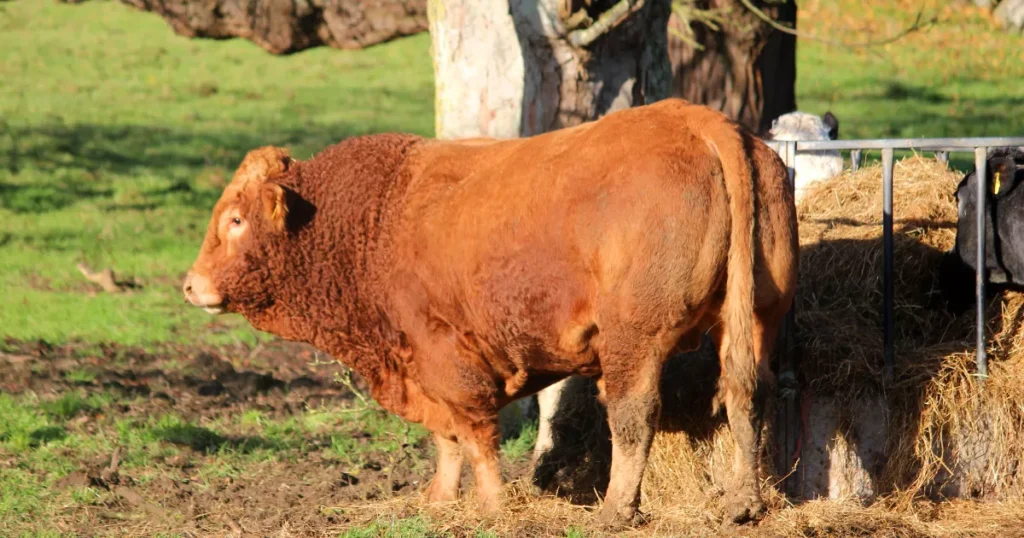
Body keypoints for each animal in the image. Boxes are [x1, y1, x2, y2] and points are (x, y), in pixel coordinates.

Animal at [180, 98, 794, 524]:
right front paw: (438, 500)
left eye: (235, 219)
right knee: (748, 393)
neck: (374, 221)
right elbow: (447, 438)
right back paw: (745, 501)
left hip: (633, 339)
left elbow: (474, 436)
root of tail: (697, 119)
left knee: (633, 414)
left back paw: (617, 509)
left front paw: (493, 505)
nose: (190, 285)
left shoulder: (446, 359)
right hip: (756, 316)